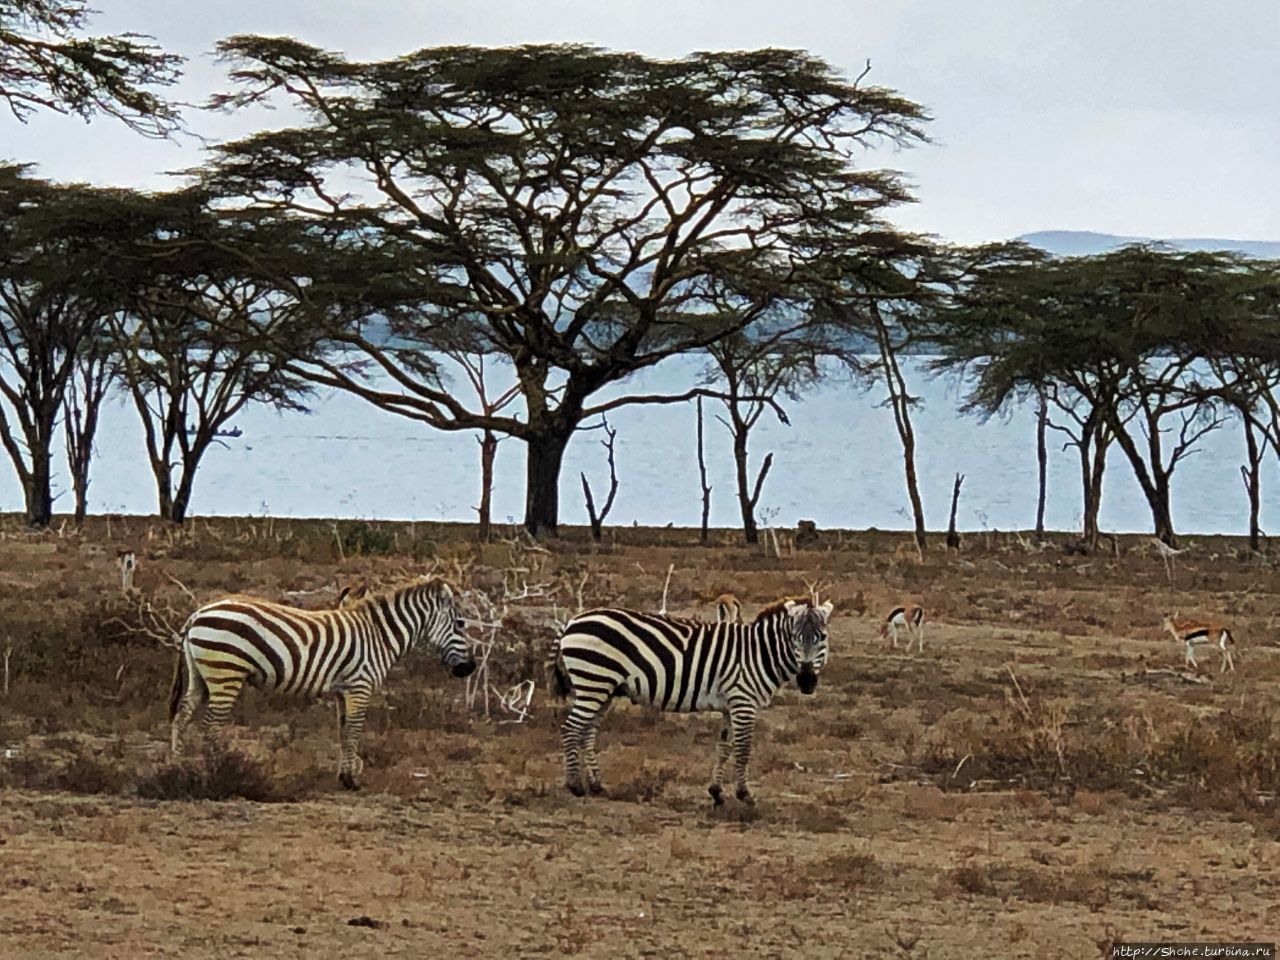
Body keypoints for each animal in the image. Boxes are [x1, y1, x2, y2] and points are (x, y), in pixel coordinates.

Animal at [165, 578, 476, 788]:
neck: (379, 635)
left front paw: (344, 775)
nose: (470, 668)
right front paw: (351, 781)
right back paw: (219, 771)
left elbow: (343, 731)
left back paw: (177, 768)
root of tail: (197, 614)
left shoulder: (343, 690)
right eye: (460, 624)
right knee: (211, 725)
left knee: (182, 715)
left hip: (201, 675)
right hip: (225, 672)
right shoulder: (360, 686)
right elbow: (354, 731)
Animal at [547, 593, 829, 803]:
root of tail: (572, 621)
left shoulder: (731, 705)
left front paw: (716, 793)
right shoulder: (743, 701)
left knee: (587, 732)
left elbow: (725, 747)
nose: (806, 682)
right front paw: (744, 794)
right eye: (795, 638)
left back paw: (596, 785)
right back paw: (574, 785)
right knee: (571, 728)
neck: (759, 653)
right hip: (593, 681)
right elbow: (743, 748)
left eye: (822, 638)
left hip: (602, 687)